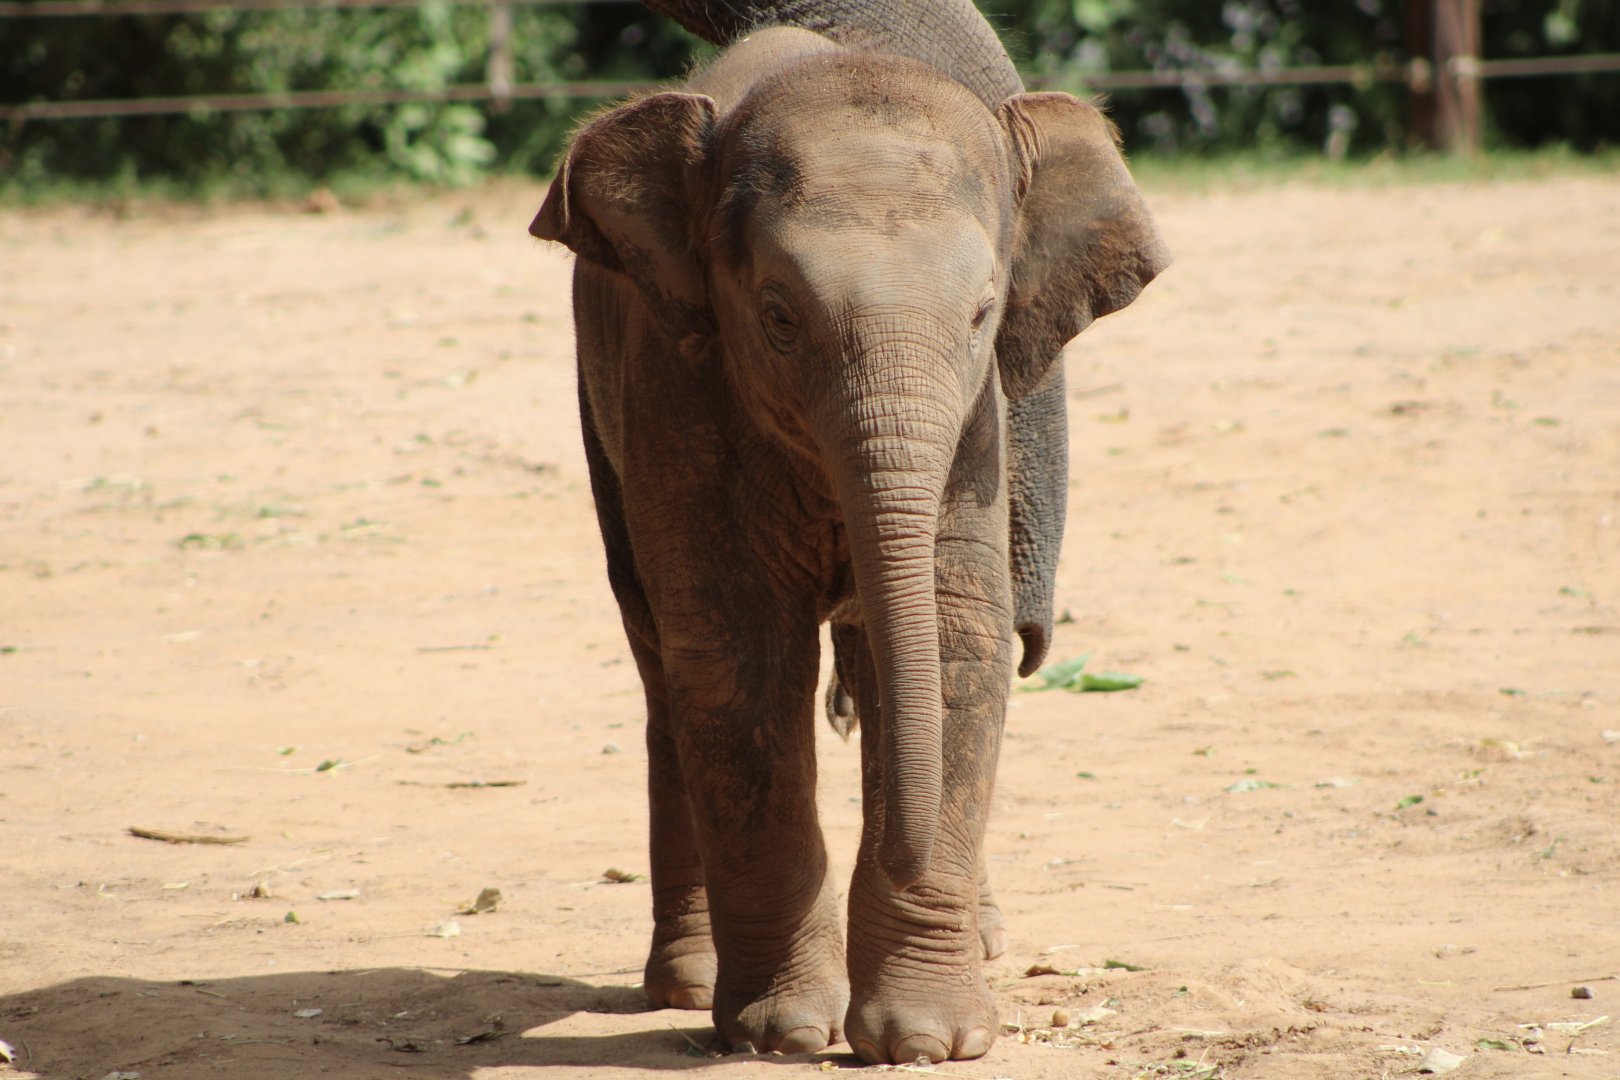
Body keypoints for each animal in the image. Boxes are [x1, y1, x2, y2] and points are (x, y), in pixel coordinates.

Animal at [529, 18, 1169, 1068]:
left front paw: (927, 1042)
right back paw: (686, 983)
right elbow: (736, 659)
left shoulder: (976, 429)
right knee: (664, 661)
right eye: (778, 315)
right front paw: (784, 1033)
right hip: (597, 409)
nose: (902, 861)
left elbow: (953, 642)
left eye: (983, 314)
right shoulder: (675, 384)